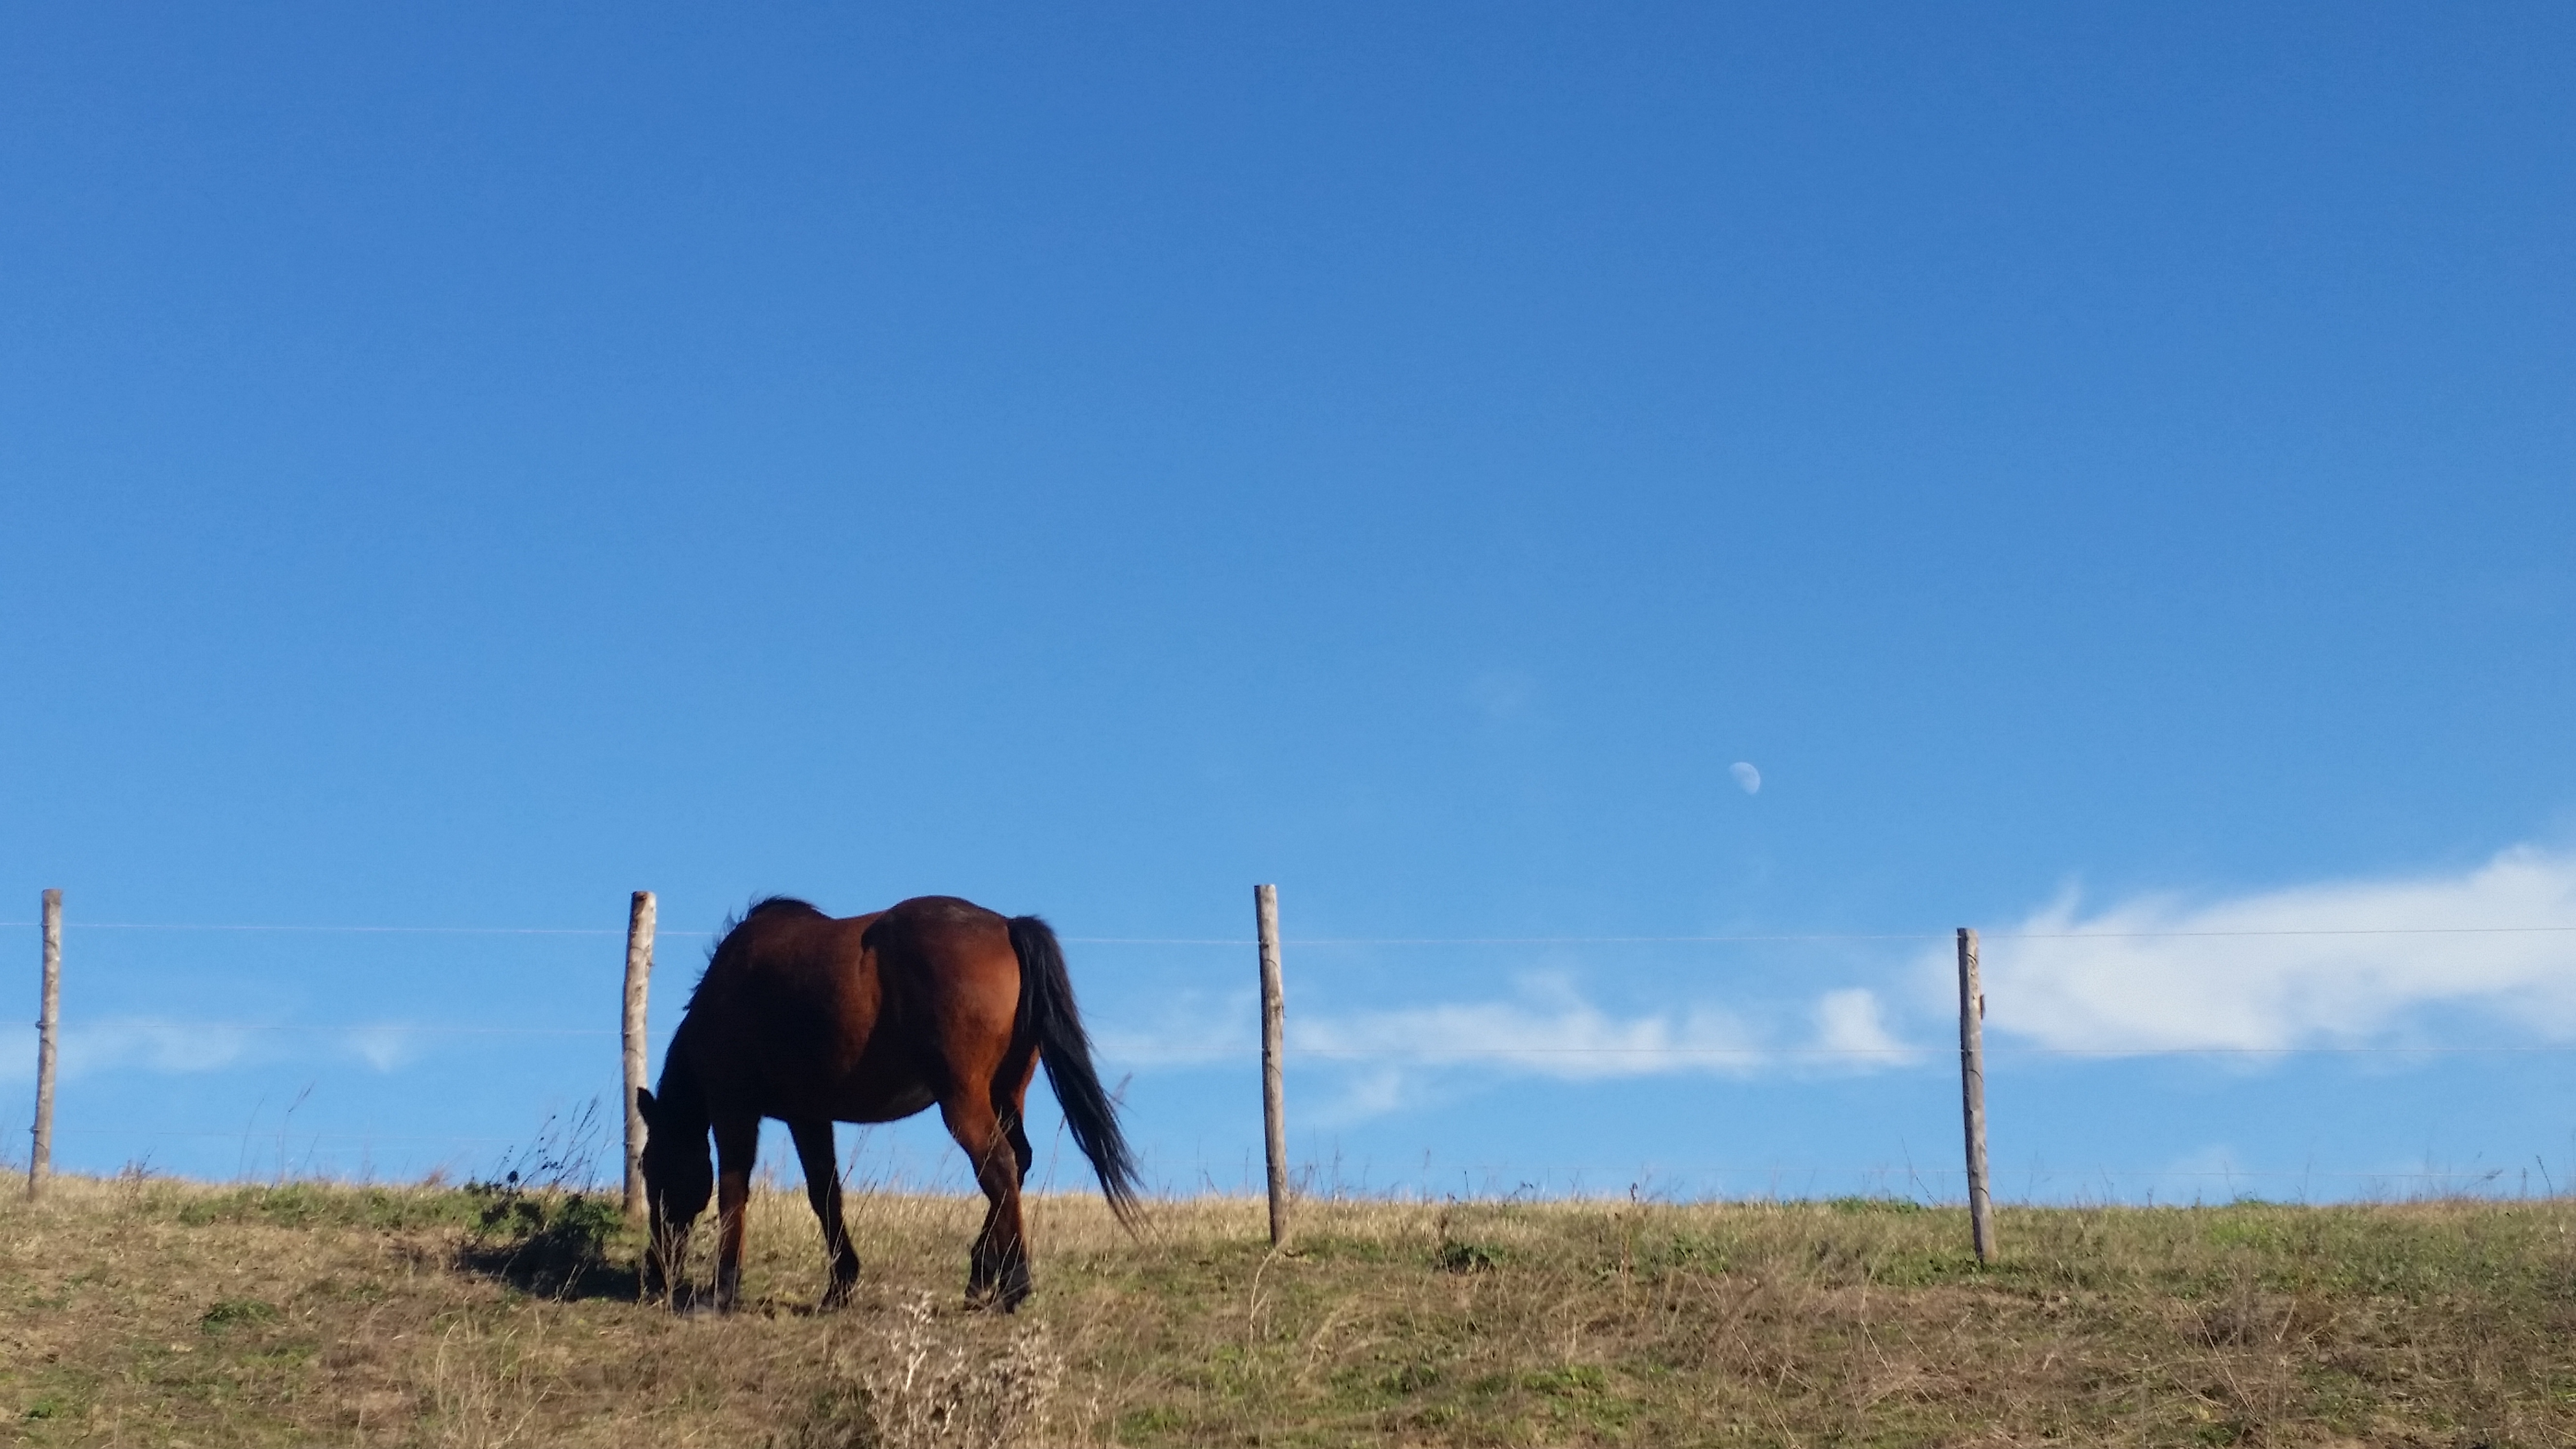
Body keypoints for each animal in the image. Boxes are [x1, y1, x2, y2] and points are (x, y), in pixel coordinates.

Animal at [633, 892, 1138, 1309]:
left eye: (650, 1167)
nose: (656, 1273)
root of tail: (1007, 926)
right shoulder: (808, 1116)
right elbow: (825, 1193)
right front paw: (839, 1287)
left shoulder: (734, 1110)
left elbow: (734, 1192)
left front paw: (723, 1290)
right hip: (1005, 1094)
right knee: (1017, 1164)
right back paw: (981, 1276)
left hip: (964, 1101)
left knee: (998, 1167)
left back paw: (1014, 1284)